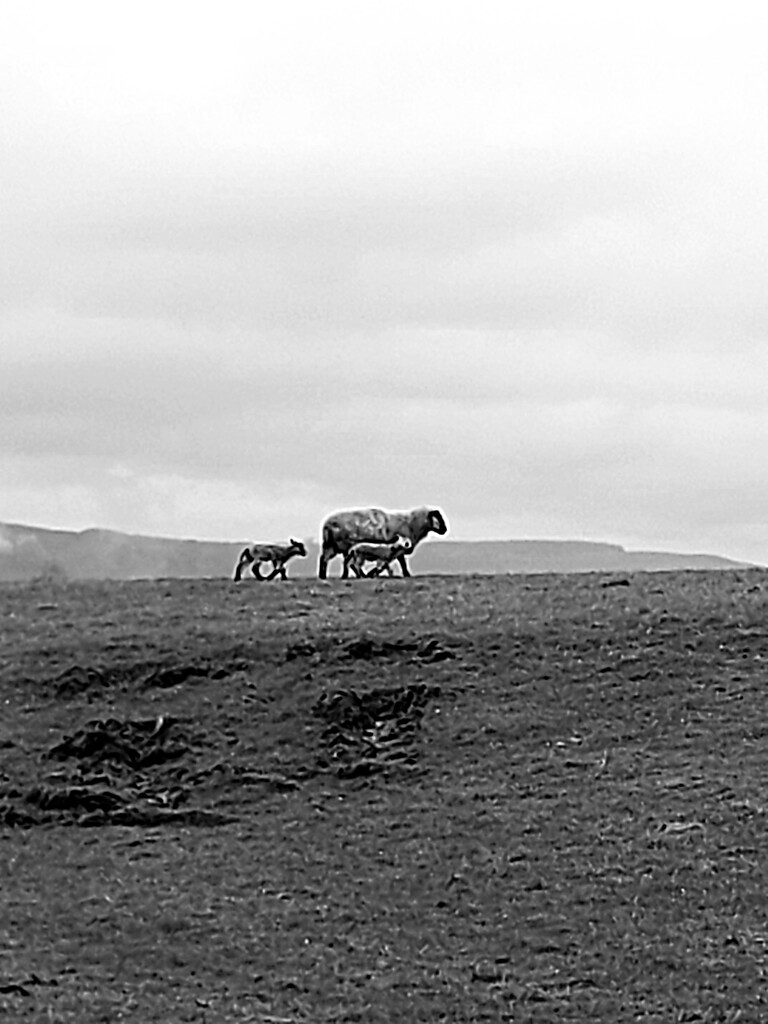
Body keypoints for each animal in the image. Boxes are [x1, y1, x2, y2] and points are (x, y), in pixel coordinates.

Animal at [319, 507, 450, 581]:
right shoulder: (394, 548)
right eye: (437, 517)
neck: (410, 525)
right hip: (344, 545)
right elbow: (400, 562)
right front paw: (406, 574)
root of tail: (326, 525)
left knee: (325, 559)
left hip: (332, 546)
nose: (445, 530)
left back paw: (324, 576)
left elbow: (393, 562)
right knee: (347, 563)